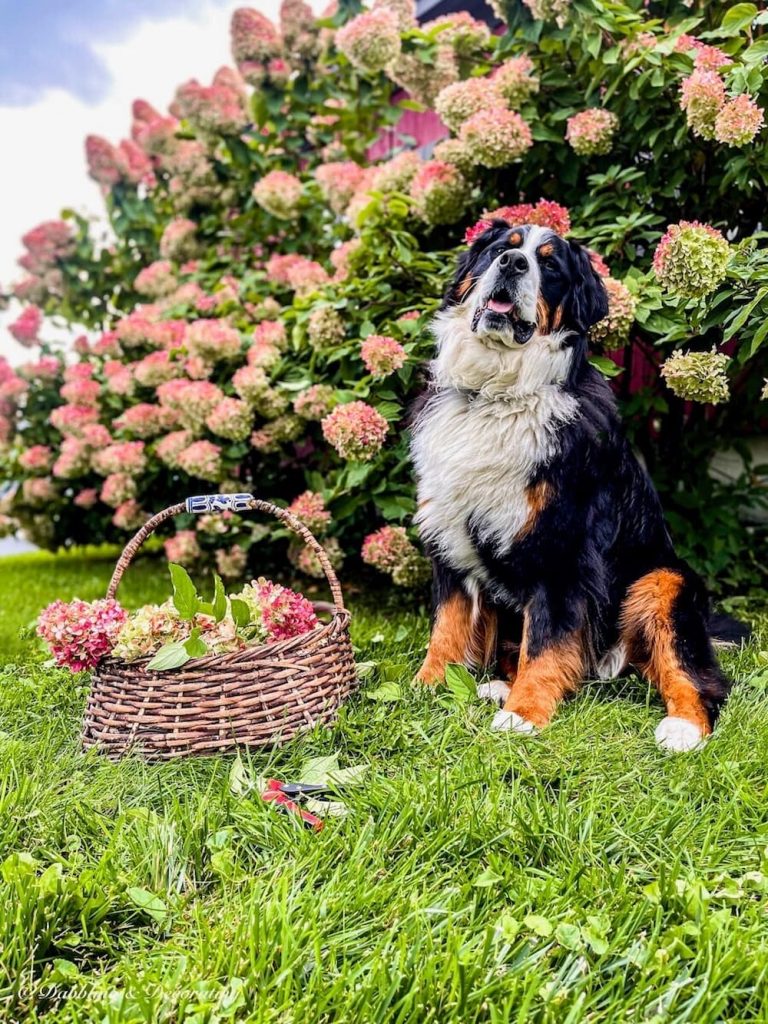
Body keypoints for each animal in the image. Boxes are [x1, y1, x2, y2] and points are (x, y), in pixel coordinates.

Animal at [415, 220, 745, 753]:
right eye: (500, 249)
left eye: (549, 265)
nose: (513, 265)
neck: (497, 396)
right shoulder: (451, 537)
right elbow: (447, 627)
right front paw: (427, 686)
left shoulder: (563, 548)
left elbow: (546, 641)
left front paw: (523, 714)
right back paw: (495, 684)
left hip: (662, 582)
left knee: (699, 676)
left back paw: (684, 728)